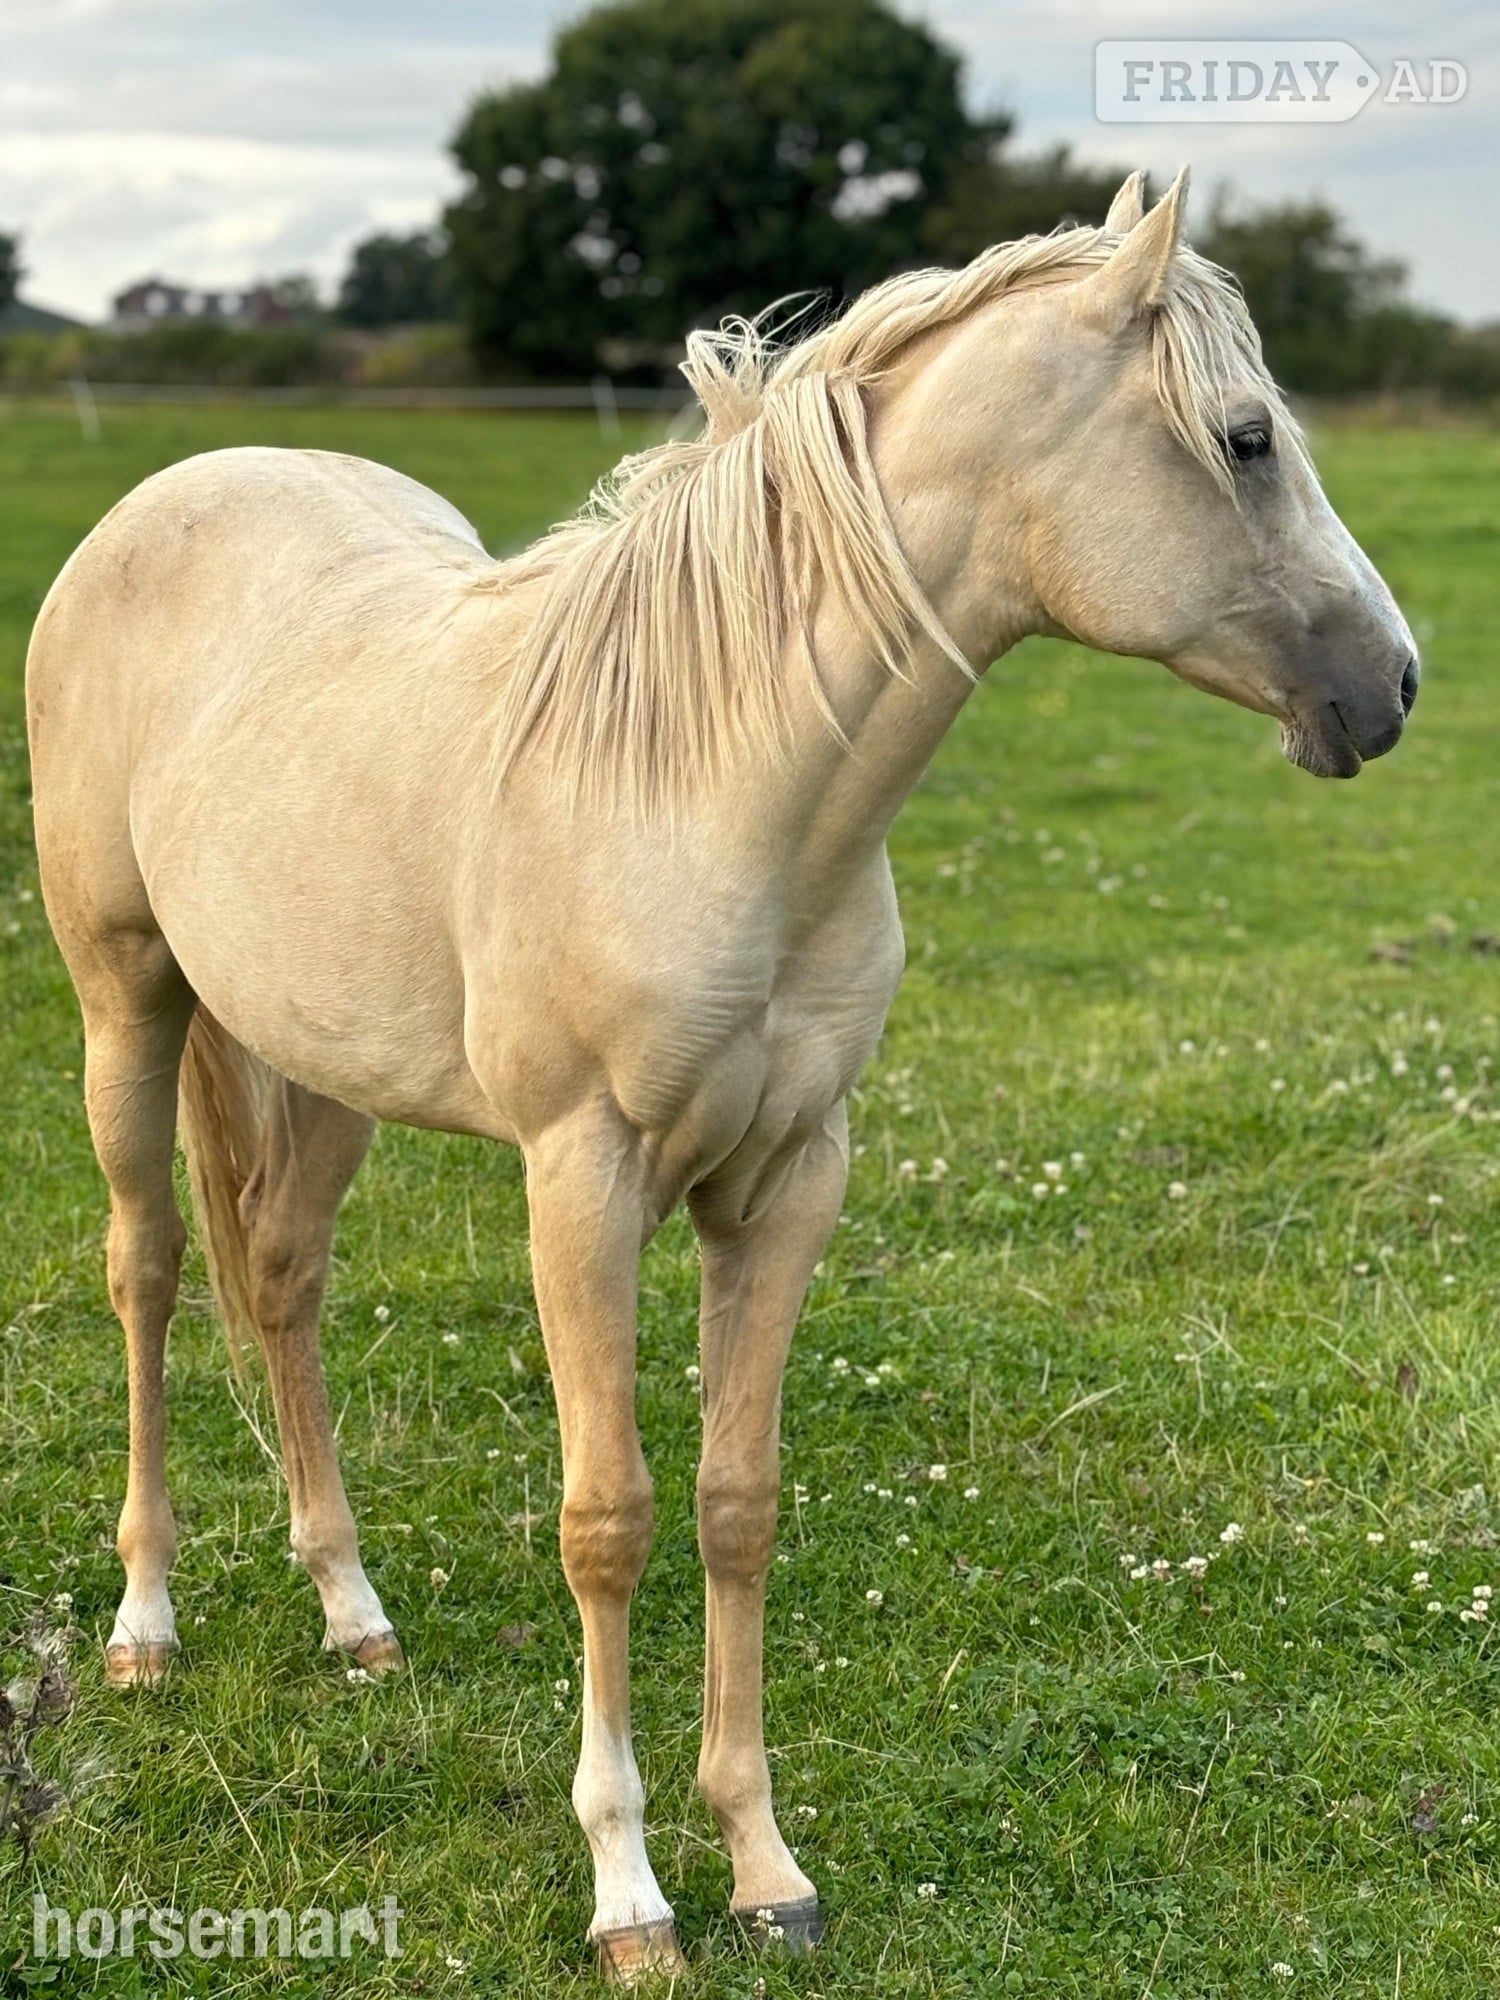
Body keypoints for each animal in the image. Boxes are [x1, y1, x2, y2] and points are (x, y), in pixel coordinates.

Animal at [26, 170, 1416, 1980]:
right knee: (148, 1272)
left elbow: (735, 1501)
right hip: (127, 1001)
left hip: (310, 1060)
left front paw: (762, 1866)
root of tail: (162, 502)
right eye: (1245, 439)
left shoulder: (787, 1178)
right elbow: (606, 1519)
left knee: (278, 1280)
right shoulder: (584, 1176)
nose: (1391, 686)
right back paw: (144, 1622)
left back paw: (352, 1614)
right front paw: (628, 1894)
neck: (712, 776)